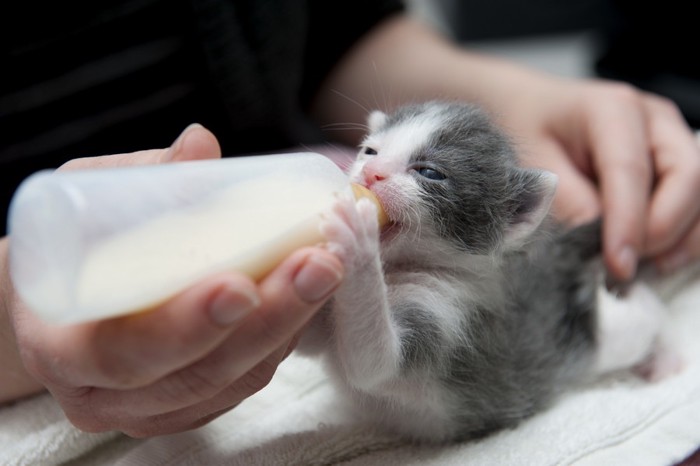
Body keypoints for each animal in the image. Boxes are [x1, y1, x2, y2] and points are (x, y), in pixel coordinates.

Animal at [298, 100, 676, 442]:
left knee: (648, 314)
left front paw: (358, 240)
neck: (397, 268)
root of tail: (562, 252)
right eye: (369, 151)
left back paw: (663, 351)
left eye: (429, 172)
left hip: (612, 335)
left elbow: (373, 364)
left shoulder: (451, 318)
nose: (370, 173)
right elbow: (311, 340)